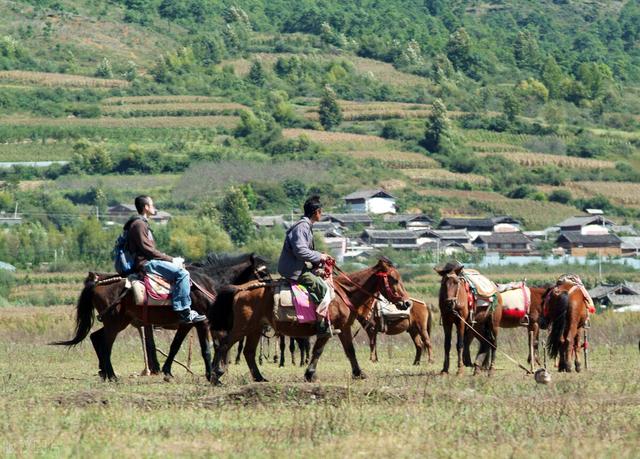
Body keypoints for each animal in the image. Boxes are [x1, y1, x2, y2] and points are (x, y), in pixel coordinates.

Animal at [52, 253, 268, 382]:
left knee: (96, 338)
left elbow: (175, 346)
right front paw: (210, 374)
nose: (269, 287)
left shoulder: (187, 323)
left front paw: (167, 371)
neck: (208, 282)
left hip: (117, 321)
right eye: (263, 273)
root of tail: (97, 283)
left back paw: (105, 373)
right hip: (115, 323)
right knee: (105, 344)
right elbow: (206, 349)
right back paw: (111, 375)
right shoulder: (203, 322)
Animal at [210, 258, 410, 384]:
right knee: (224, 344)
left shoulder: (344, 328)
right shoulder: (328, 329)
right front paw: (310, 374)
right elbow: (318, 351)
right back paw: (215, 375)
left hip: (255, 328)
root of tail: (240, 289)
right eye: (393, 279)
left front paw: (358, 373)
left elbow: (350, 351)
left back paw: (259, 378)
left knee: (248, 352)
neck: (343, 294)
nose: (407, 302)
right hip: (243, 327)